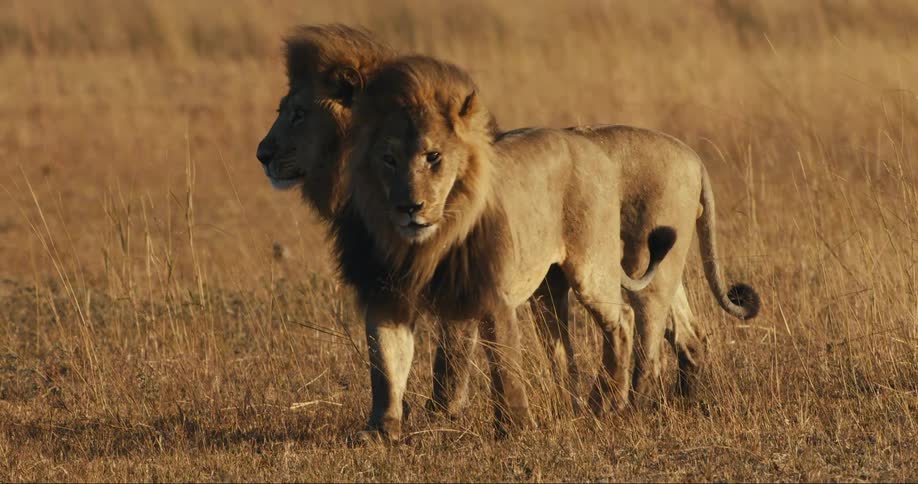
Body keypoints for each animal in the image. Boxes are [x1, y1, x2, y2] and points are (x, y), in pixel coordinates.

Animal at [333, 56, 678, 440]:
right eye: (388, 159)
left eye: (433, 156)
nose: (409, 207)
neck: (425, 246)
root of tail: (590, 144)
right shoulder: (387, 296)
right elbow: (385, 366)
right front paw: (380, 430)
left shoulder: (491, 295)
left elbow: (505, 367)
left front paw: (517, 428)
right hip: (548, 288)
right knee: (561, 344)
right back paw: (573, 405)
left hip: (590, 267)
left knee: (623, 320)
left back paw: (607, 402)